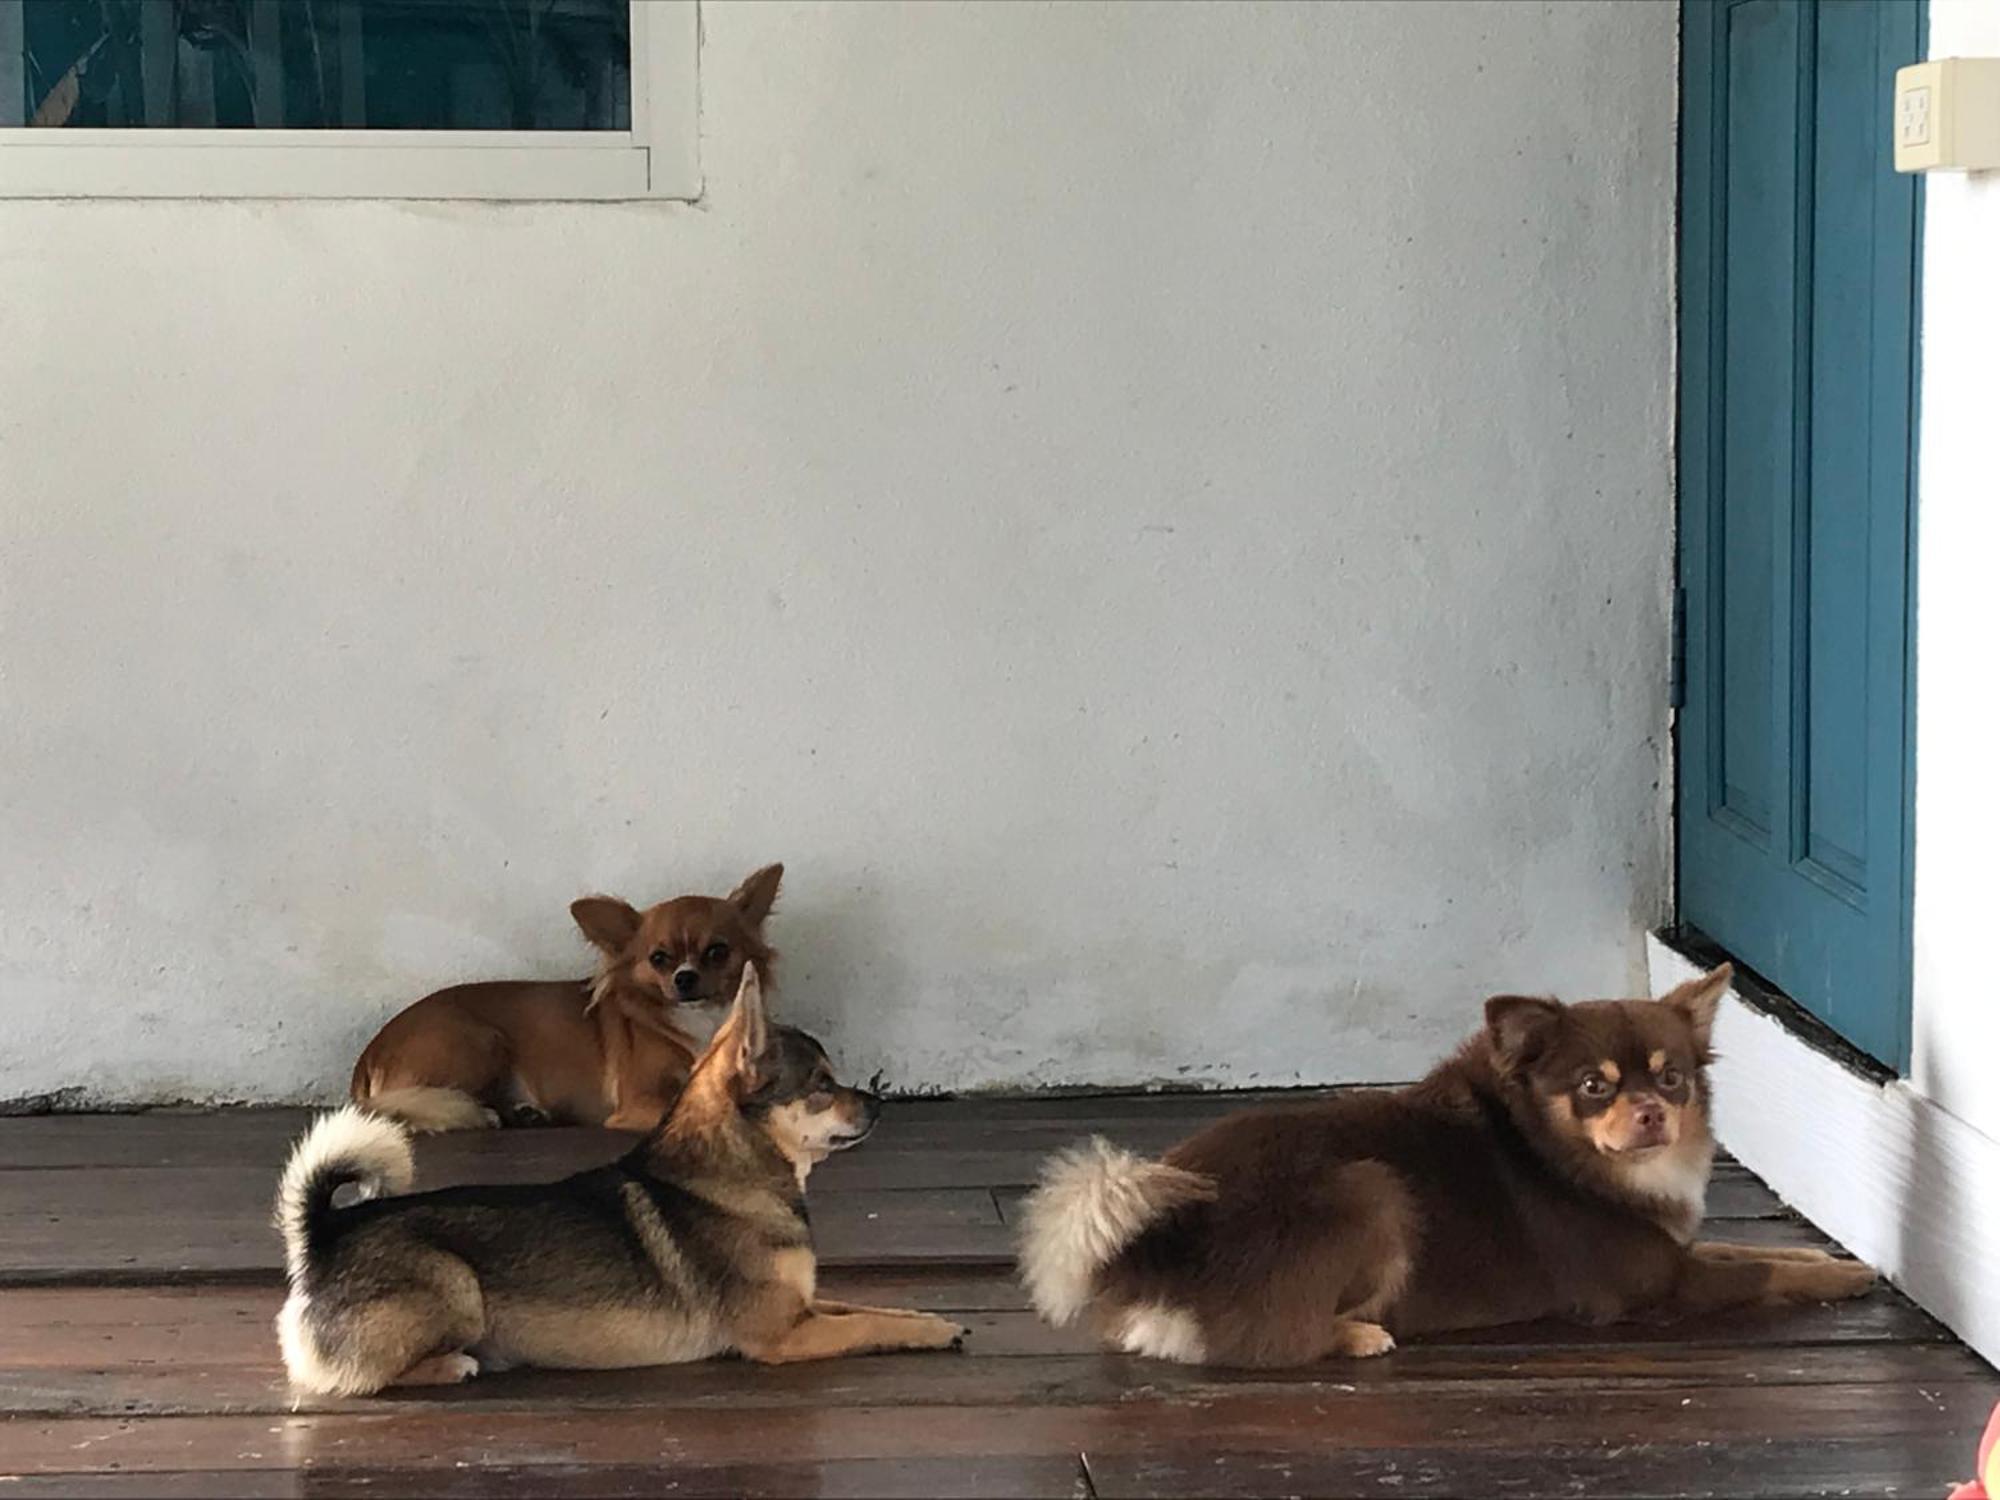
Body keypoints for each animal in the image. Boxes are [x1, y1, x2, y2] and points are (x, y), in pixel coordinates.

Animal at [280, 964, 960, 1400]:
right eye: (821, 1085)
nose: (878, 1102)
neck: (729, 1177)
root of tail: (322, 1231)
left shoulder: (804, 1308)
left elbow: (872, 1307)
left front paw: (928, 1316)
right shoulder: (783, 1334)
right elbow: (869, 1325)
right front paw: (932, 1331)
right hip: (456, 1284)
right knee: (352, 1378)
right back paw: (451, 1366)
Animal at [1024, 968, 1880, 1368]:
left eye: (1671, 1078)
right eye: (1594, 1086)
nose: (1651, 1113)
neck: (1555, 1150)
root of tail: (1150, 1248)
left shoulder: (1676, 1246)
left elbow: (1751, 1246)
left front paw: (1834, 1258)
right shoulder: (1660, 1282)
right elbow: (1760, 1272)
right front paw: (1840, 1277)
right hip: (1372, 1190)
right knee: (1270, 1340)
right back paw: (1355, 1335)